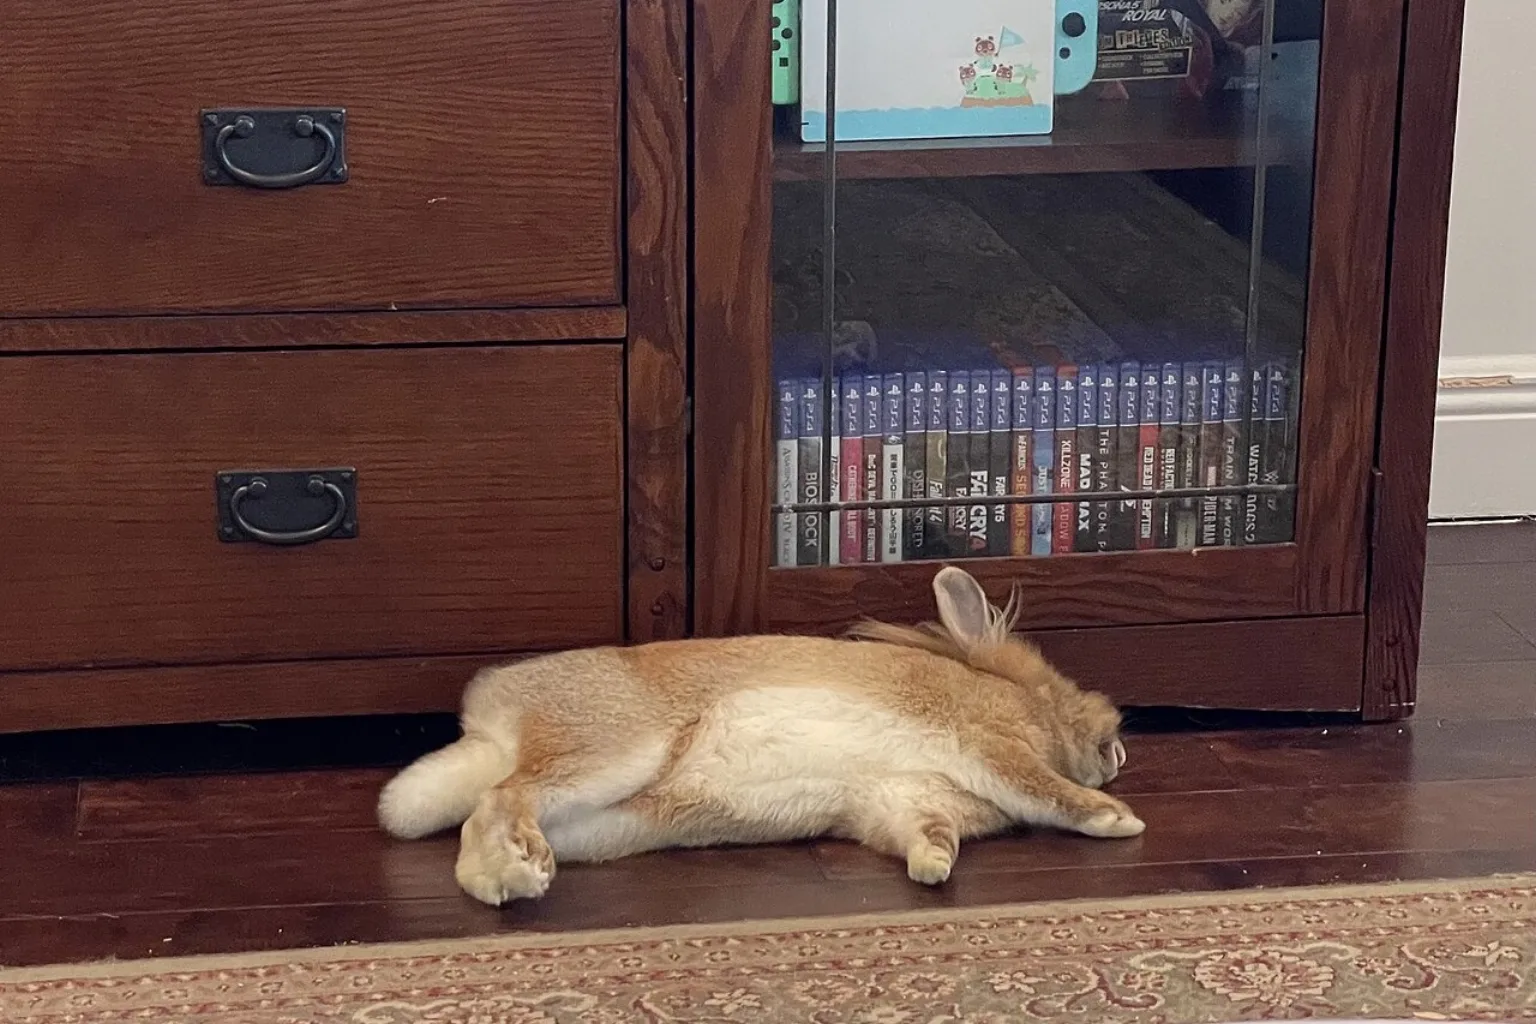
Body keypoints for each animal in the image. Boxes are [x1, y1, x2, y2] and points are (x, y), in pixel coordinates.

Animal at [377, 566, 1142, 906]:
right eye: (1074, 694)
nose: (1119, 747)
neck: (1021, 701)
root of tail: (494, 724)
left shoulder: (905, 798)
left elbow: (924, 831)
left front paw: (934, 867)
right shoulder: (989, 744)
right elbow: (1045, 790)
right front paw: (1118, 819)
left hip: (608, 820)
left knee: (476, 822)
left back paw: (502, 876)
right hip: (615, 752)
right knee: (504, 797)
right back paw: (523, 869)